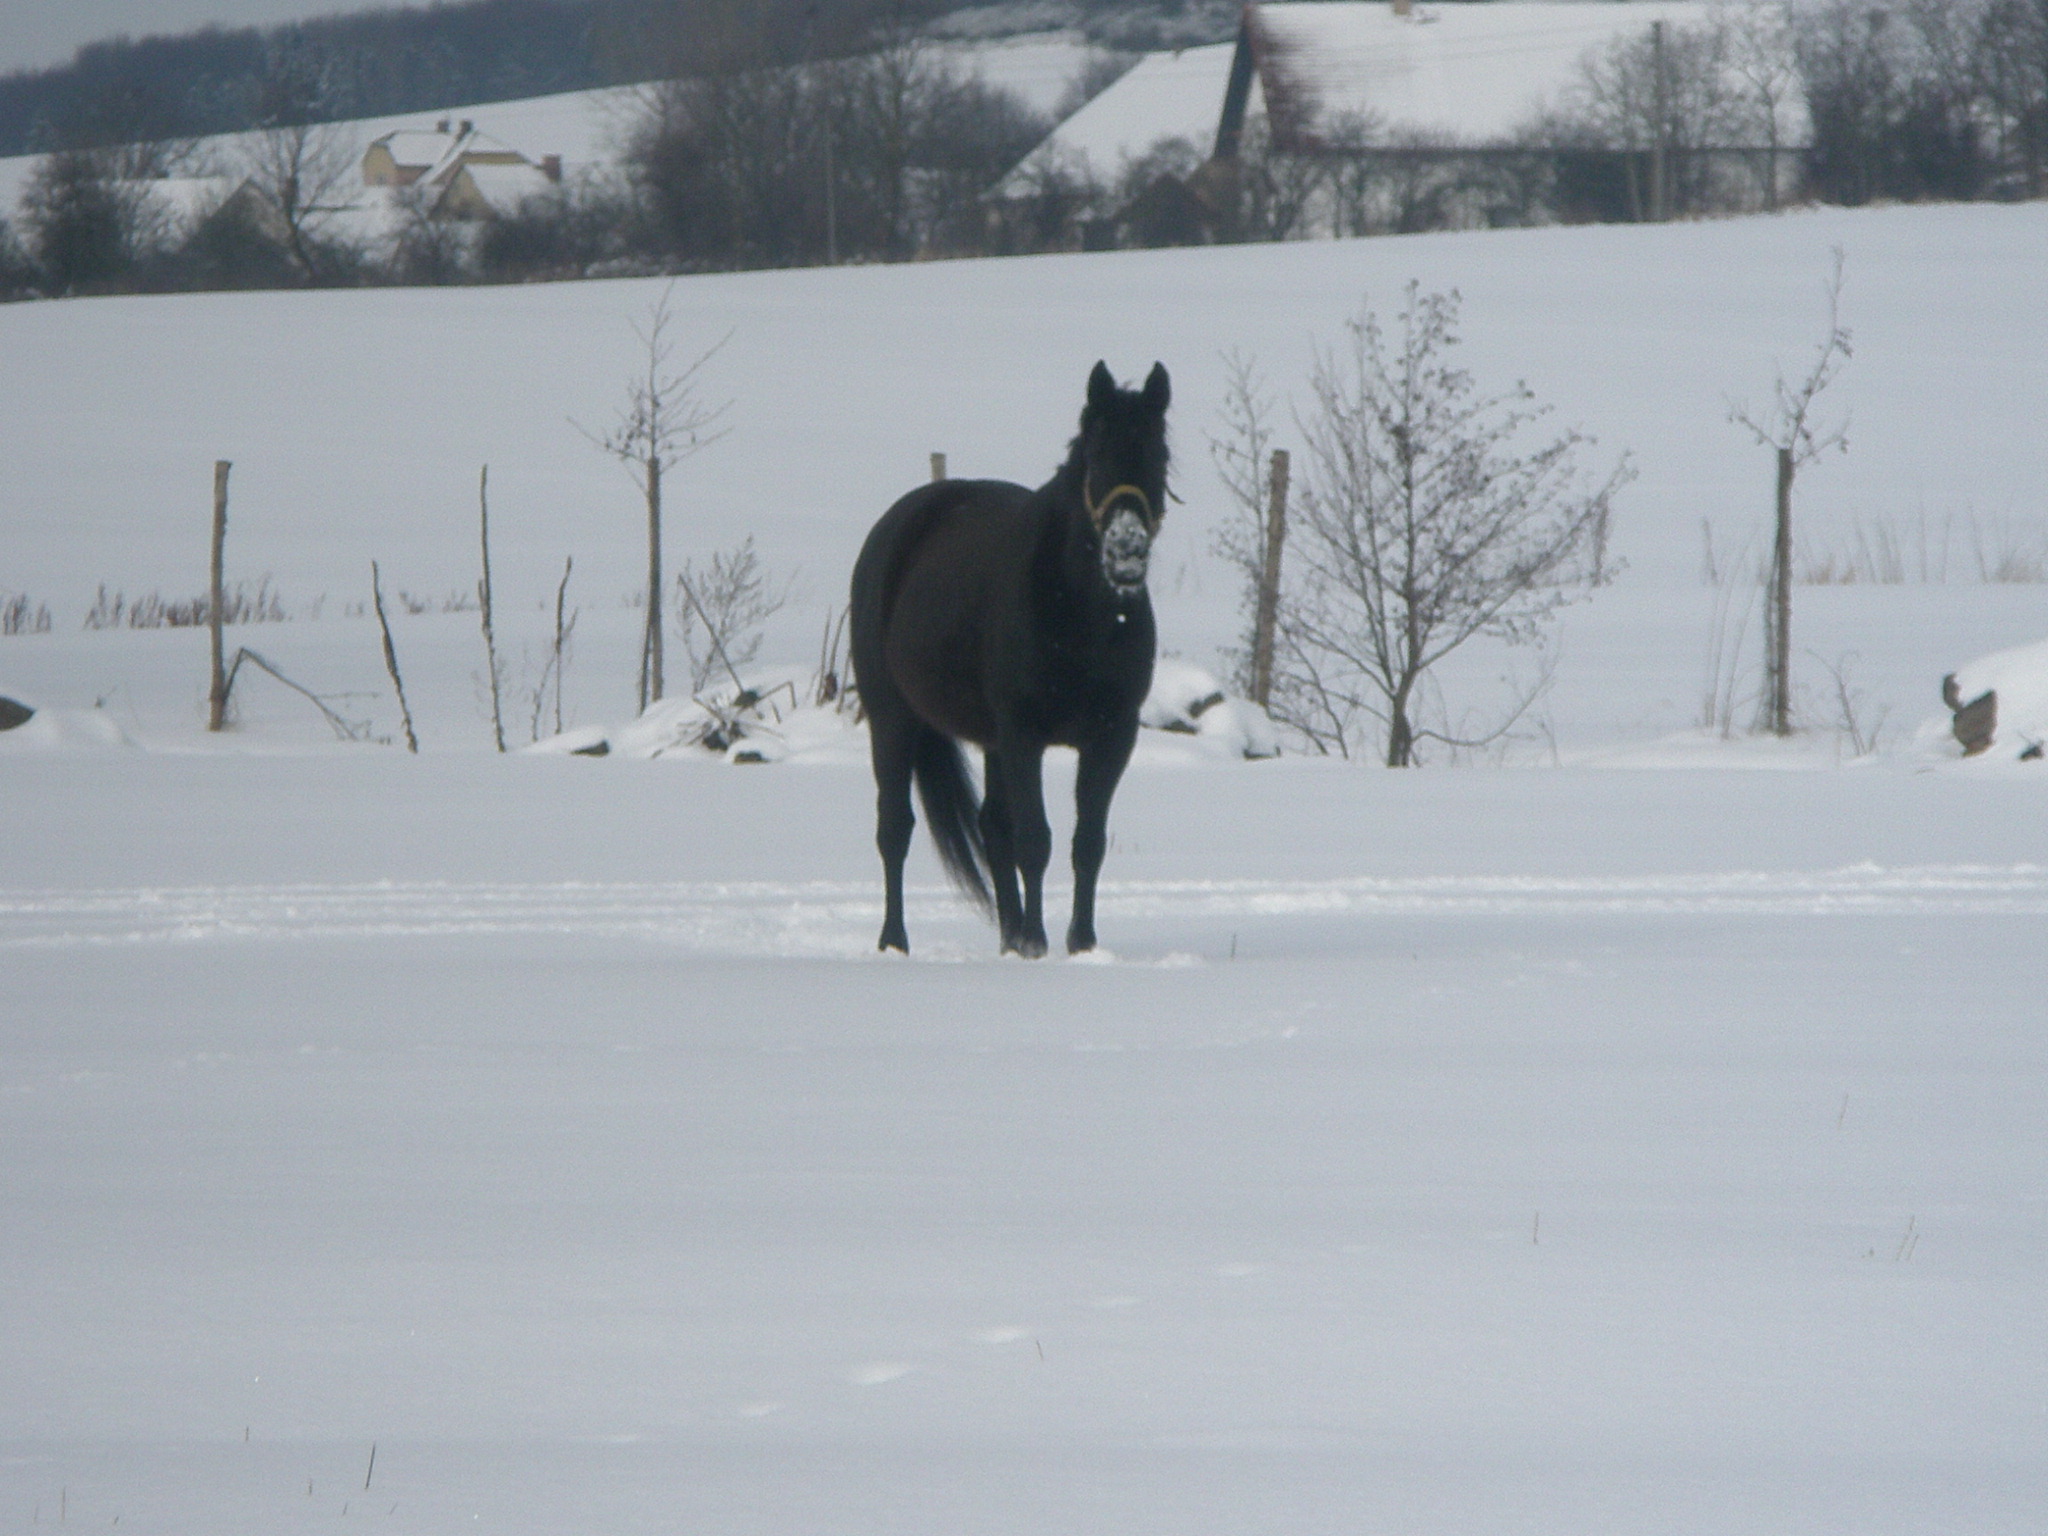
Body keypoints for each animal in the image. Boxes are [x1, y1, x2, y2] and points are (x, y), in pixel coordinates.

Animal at [843, 364, 1171, 958]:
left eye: (1158, 455)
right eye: (1097, 455)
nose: (1127, 552)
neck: (1080, 613)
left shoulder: (1112, 736)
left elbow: (1087, 843)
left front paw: (1080, 943)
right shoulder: (1024, 734)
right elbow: (1034, 840)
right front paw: (1039, 942)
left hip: (989, 740)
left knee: (992, 829)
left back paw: (1009, 937)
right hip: (894, 719)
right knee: (895, 829)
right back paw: (895, 941)